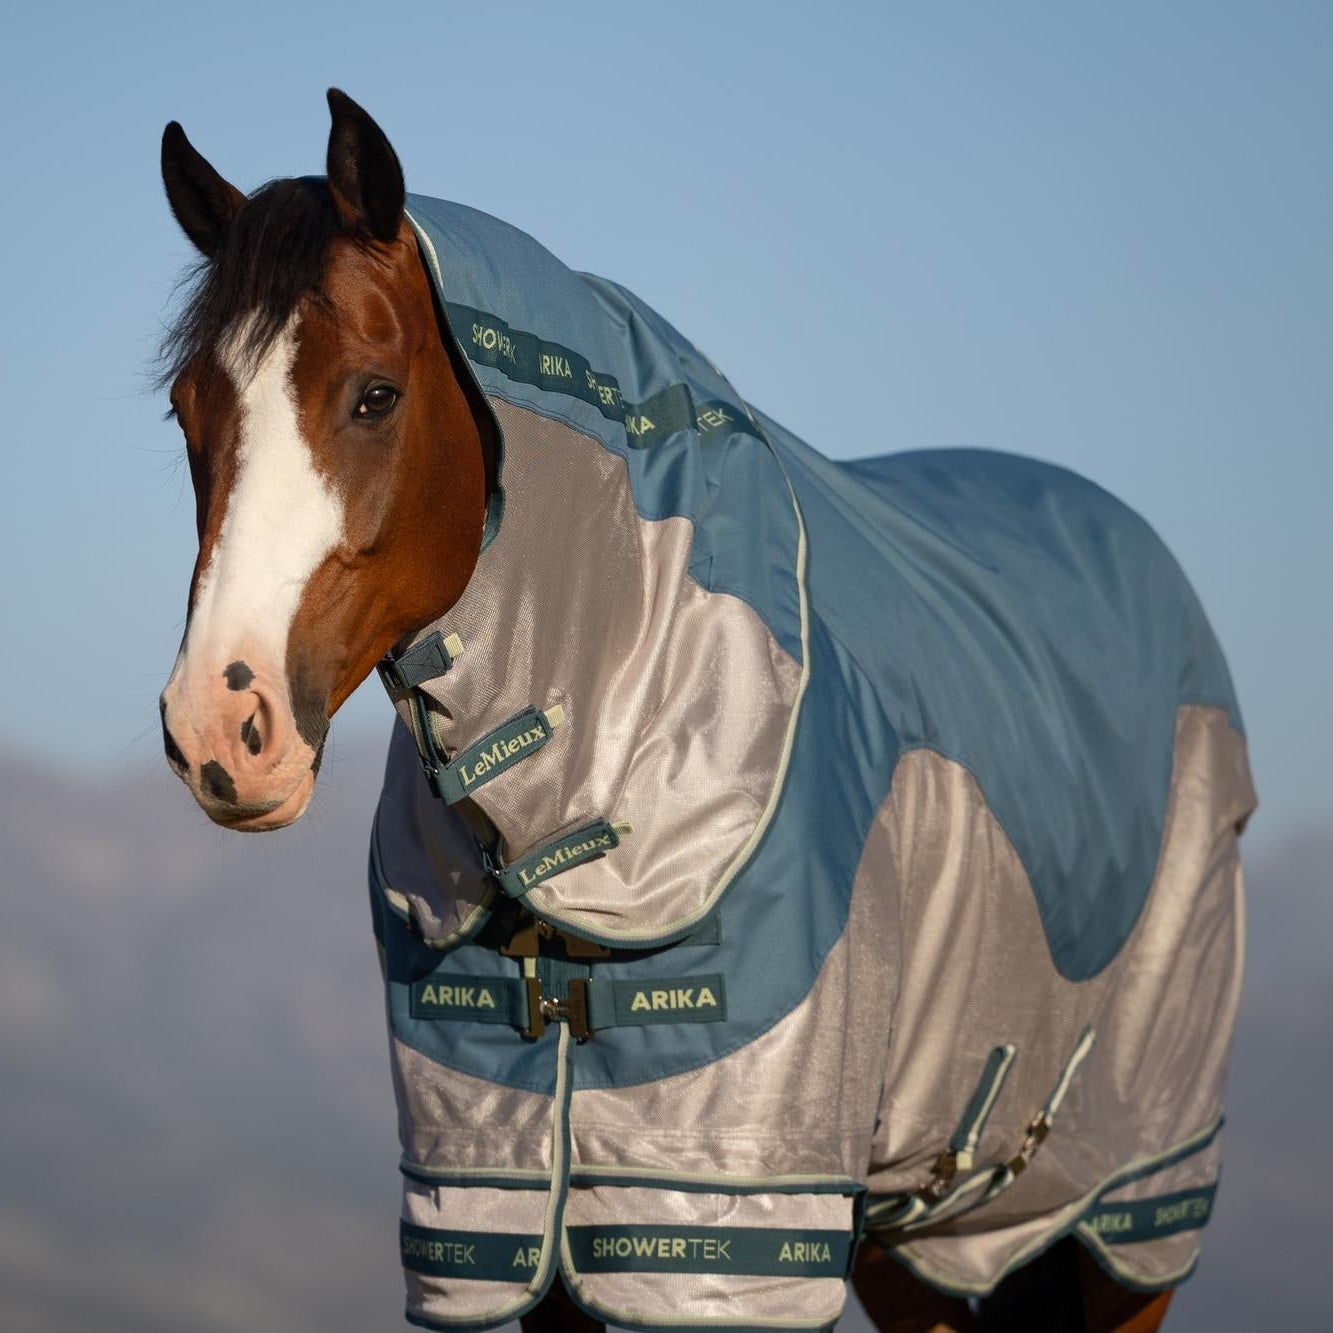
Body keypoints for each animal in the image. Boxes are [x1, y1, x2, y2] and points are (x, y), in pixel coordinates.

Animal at [157, 90, 1254, 1333]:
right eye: (187, 411)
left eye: (374, 393)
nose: (218, 730)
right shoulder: (501, 1210)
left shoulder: (725, 1224)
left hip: (1130, 1202)